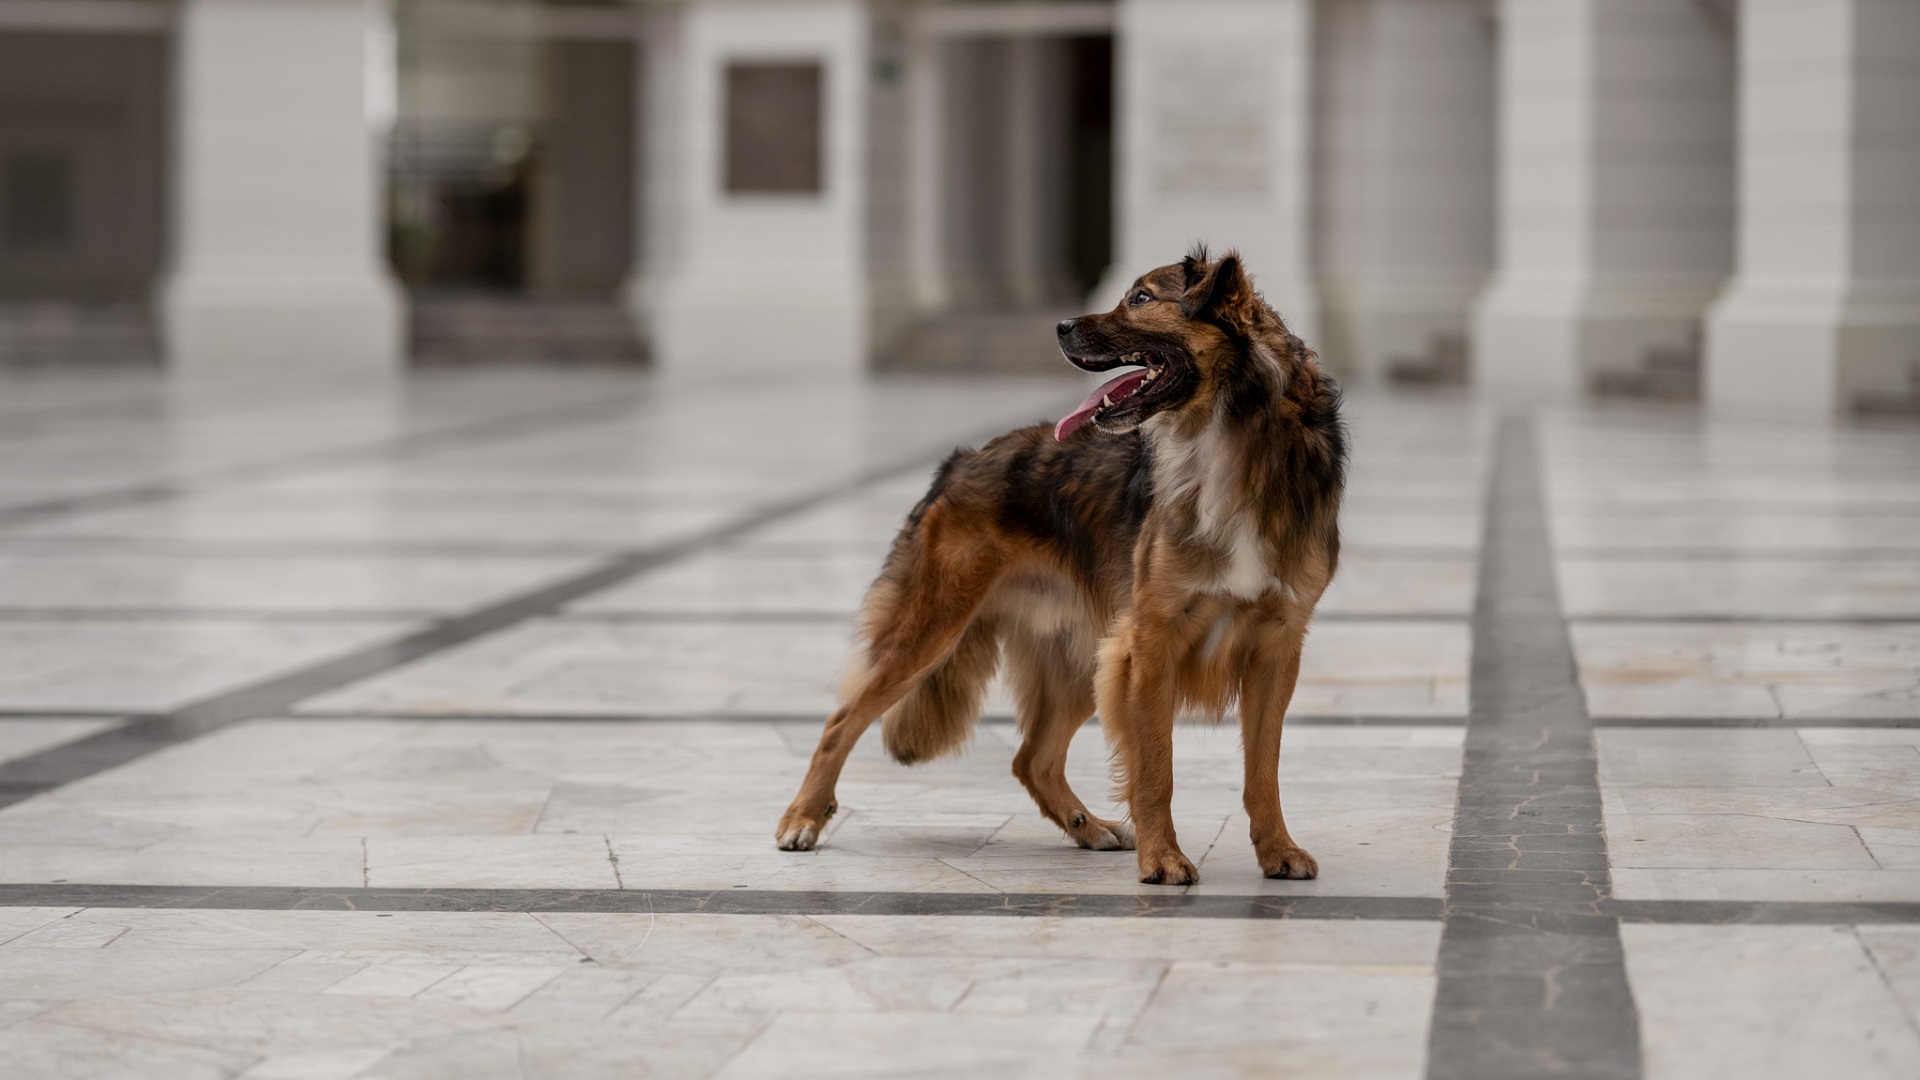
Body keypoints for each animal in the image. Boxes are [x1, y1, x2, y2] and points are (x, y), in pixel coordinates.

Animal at [771, 245, 1344, 883]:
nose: (1061, 326)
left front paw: (1277, 849)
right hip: (932, 630)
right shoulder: (1152, 641)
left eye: (1141, 298)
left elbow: (1263, 770)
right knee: (840, 721)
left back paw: (1087, 827)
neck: (1229, 440)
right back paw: (802, 819)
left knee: (1033, 759)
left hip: (1082, 658)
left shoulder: (1276, 644)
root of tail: (962, 460)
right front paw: (1163, 858)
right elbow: (1156, 767)